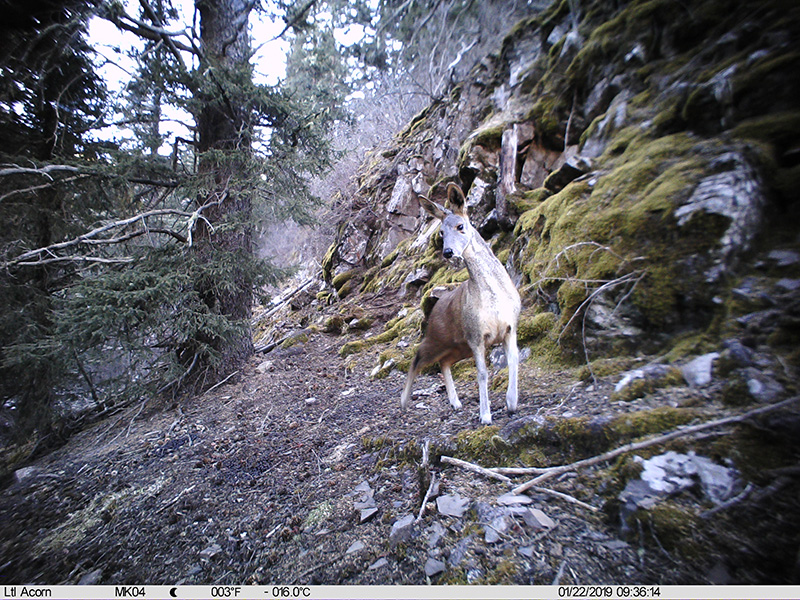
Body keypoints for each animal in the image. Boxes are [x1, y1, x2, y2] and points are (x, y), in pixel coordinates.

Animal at [400, 180, 524, 424]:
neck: (494, 299)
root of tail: (435, 307)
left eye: (460, 226)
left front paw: (512, 403)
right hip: (439, 338)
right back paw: (403, 402)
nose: (448, 252)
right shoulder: (476, 334)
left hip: (458, 345)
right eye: (441, 232)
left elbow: (513, 361)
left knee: (444, 362)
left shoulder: (510, 327)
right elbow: (482, 373)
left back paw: (455, 402)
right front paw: (485, 416)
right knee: (417, 357)